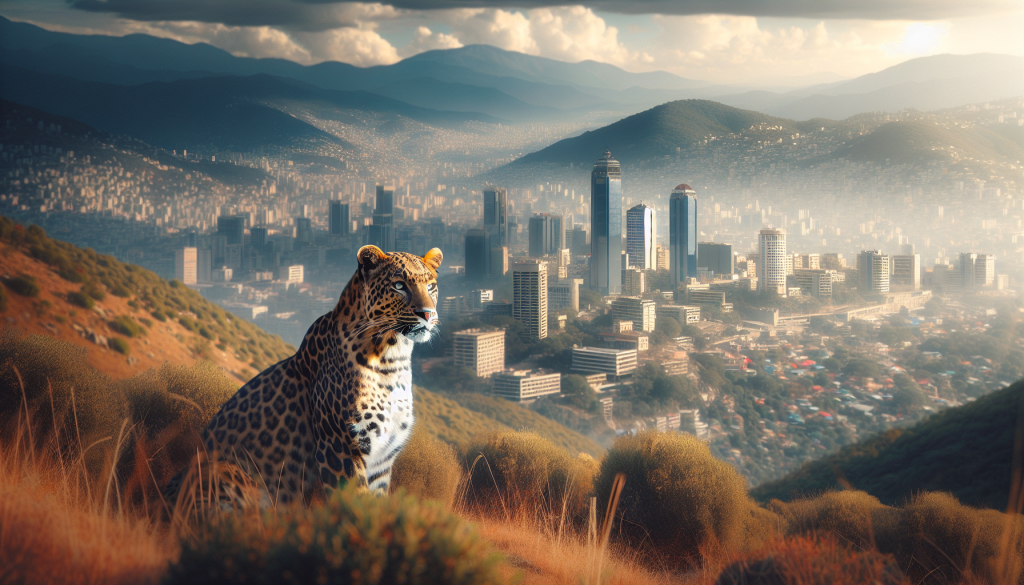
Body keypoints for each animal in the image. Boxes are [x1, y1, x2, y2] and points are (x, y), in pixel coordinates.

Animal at [162, 245, 442, 509]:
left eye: (431, 286)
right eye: (399, 285)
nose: (427, 314)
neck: (392, 360)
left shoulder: (382, 461)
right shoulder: (340, 448)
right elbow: (354, 503)